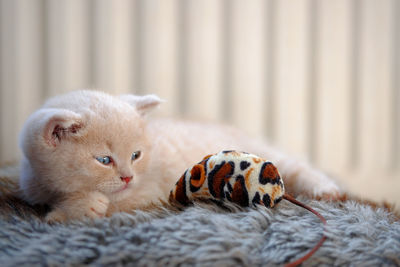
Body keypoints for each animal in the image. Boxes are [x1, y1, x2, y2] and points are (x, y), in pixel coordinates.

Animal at [17, 91, 340, 223]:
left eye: (135, 155)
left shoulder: (148, 191)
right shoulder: (32, 185)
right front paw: (73, 207)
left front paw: (69, 211)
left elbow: (118, 203)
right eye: (104, 160)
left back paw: (327, 190)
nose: (127, 176)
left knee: (299, 167)